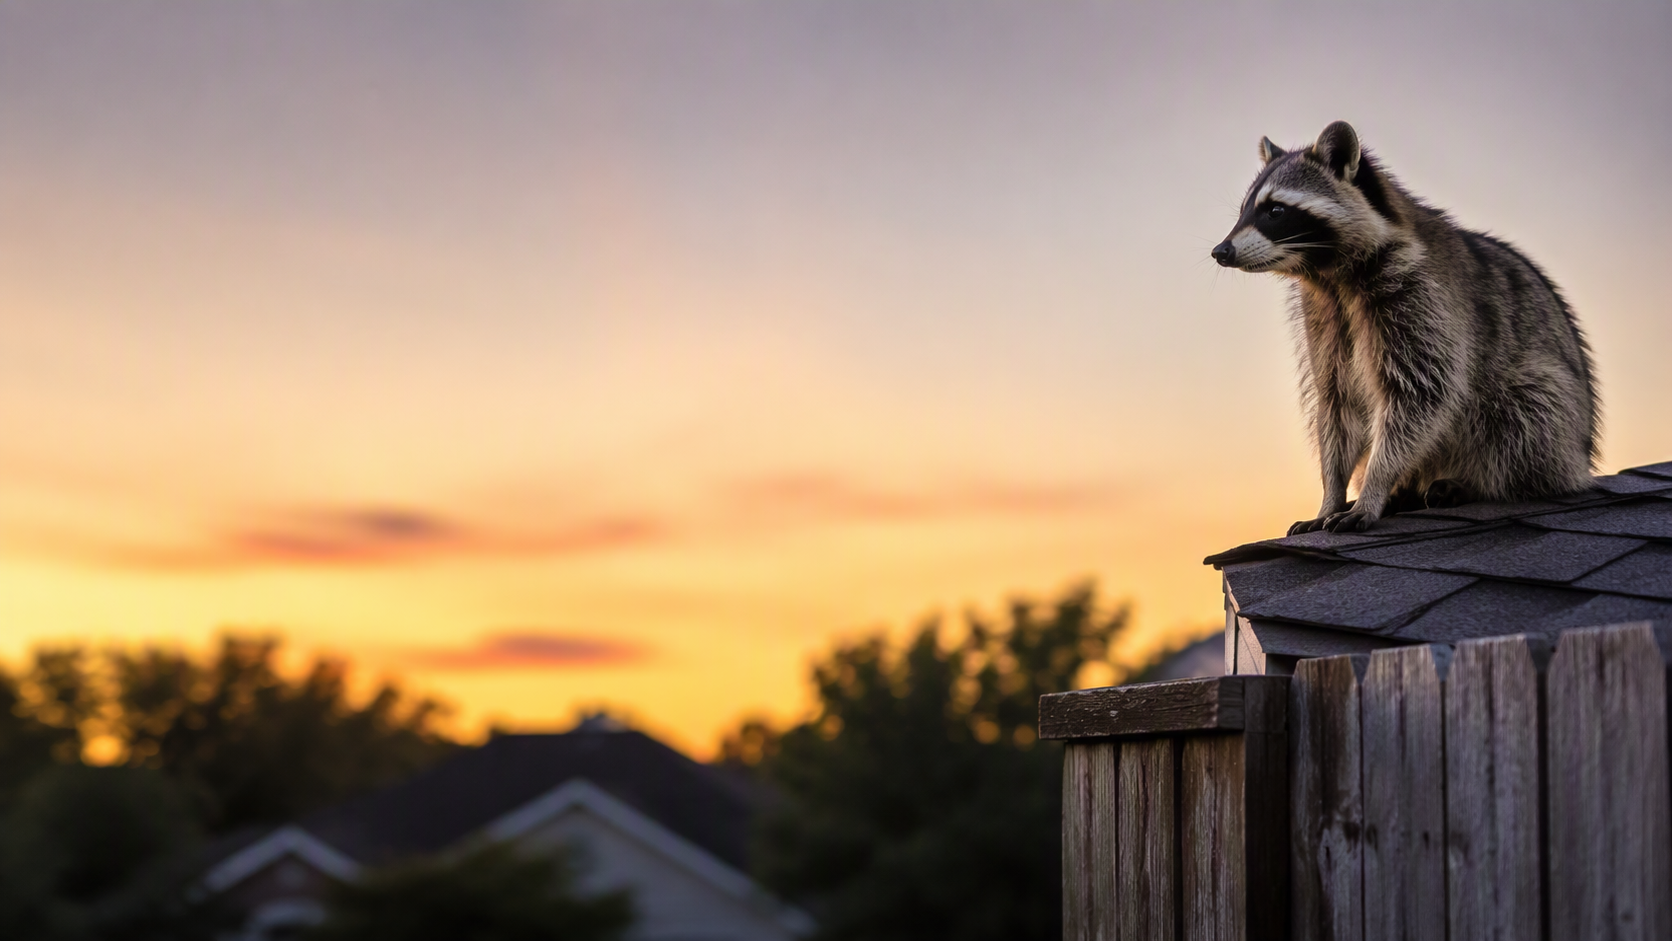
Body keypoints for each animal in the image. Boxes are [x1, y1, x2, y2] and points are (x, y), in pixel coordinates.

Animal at [1212, 121, 1598, 534]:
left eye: (1275, 210)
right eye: (1244, 211)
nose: (1221, 251)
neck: (1331, 277)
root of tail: (1580, 456)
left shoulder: (1420, 297)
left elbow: (1420, 394)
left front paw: (1375, 485)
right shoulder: (1323, 316)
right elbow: (1336, 404)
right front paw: (1331, 494)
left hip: (1551, 412)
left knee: (1526, 412)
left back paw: (1480, 483)